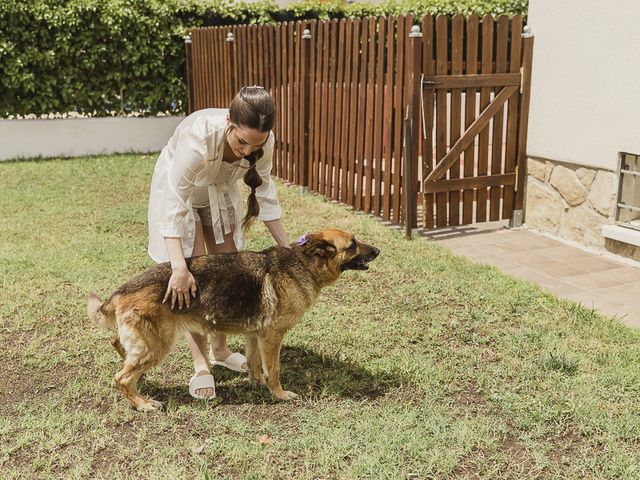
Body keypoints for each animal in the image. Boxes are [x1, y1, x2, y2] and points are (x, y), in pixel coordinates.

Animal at [90, 231, 380, 410]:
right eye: (352, 244)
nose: (378, 250)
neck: (303, 265)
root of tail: (121, 291)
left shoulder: (256, 335)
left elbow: (255, 364)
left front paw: (258, 384)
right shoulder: (272, 337)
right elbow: (274, 370)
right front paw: (279, 394)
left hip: (146, 343)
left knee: (118, 344)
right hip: (157, 345)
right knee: (121, 378)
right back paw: (143, 404)